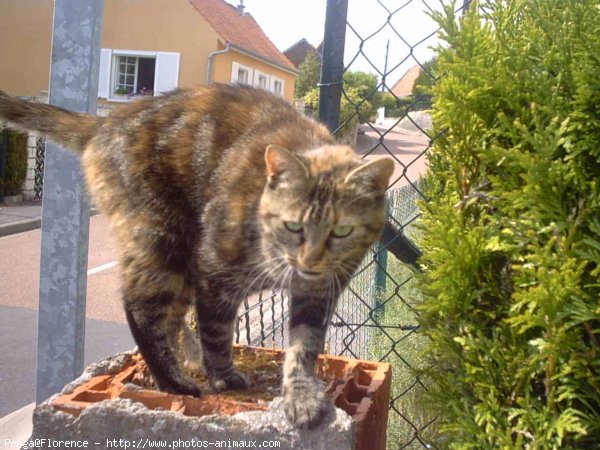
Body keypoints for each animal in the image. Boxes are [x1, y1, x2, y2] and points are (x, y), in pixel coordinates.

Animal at [0, 84, 394, 428]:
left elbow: (304, 347)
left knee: (171, 318)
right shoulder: (215, 274)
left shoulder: (318, 295)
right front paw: (223, 378)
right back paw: (172, 381)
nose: (310, 260)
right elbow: (217, 332)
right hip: (162, 242)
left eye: (341, 231)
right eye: (293, 225)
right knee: (140, 309)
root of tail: (105, 123)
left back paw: (183, 359)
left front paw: (302, 397)